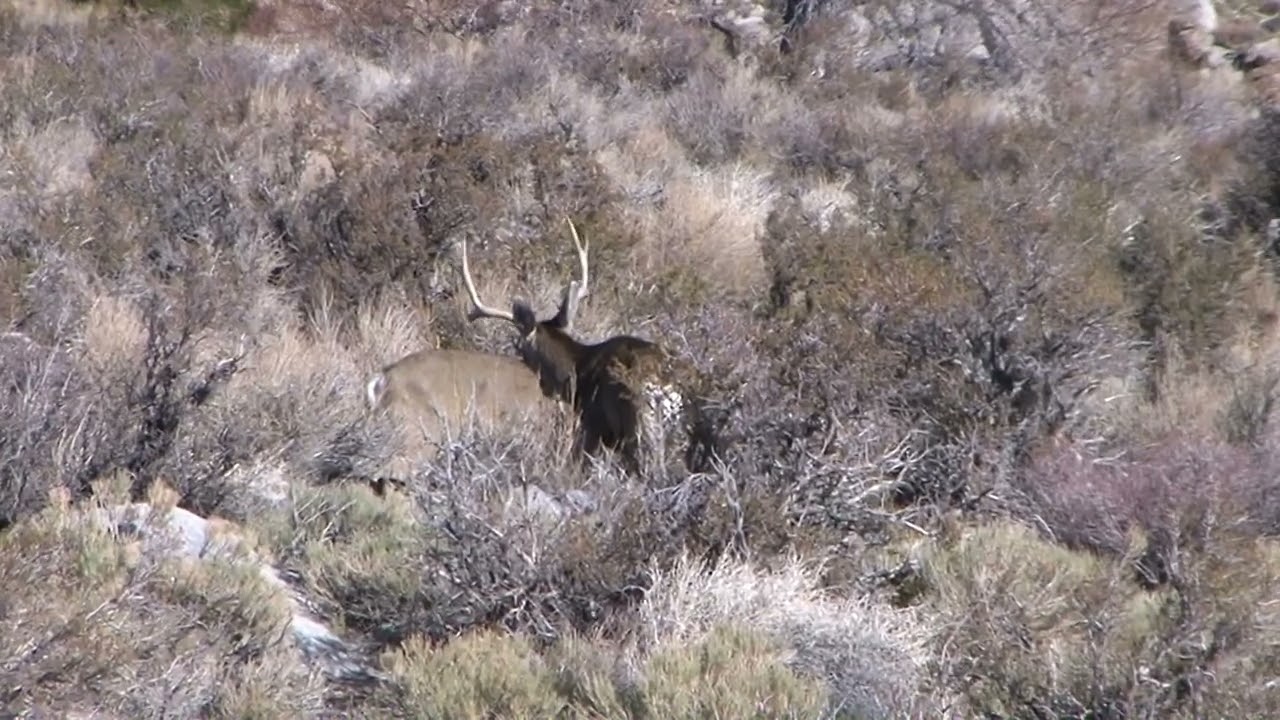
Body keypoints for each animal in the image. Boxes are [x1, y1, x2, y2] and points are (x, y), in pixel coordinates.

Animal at [459, 218, 728, 477]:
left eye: (519, 347)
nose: (544, 385)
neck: (577, 371)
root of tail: (670, 392)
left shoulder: (592, 425)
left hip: (641, 426)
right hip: (692, 433)